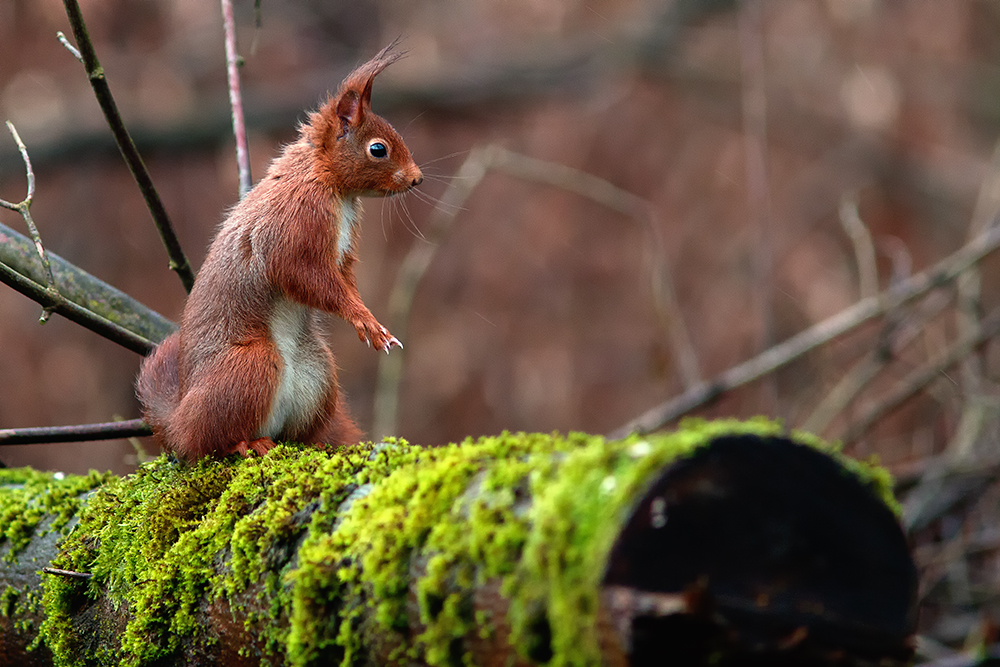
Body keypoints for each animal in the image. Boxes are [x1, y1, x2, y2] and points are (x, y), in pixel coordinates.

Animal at [135, 44, 420, 462]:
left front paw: (367, 318)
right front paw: (364, 320)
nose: (417, 179)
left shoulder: (342, 250)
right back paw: (245, 442)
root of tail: (180, 422)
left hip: (318, 373)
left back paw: (306, 441)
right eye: (378, 149)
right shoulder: (295, 225)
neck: (325, 180)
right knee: (212, 440)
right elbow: (302, 275)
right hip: (249, 364)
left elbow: (343, 279)